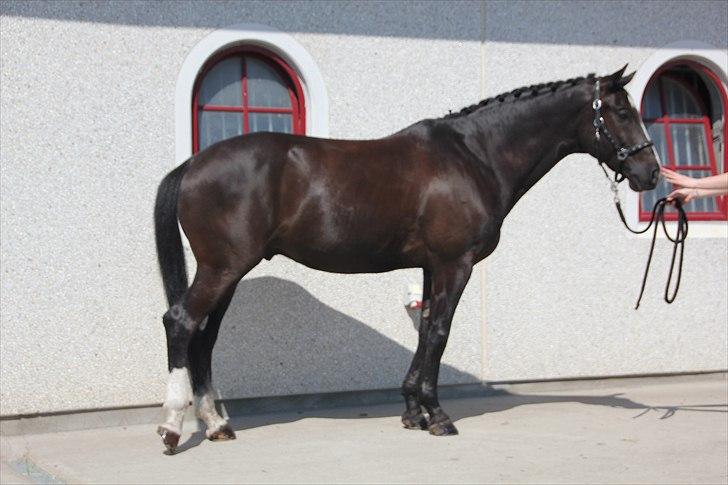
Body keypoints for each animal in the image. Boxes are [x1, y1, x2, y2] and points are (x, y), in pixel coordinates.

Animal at [153, 65, 659, 453]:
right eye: (621, 111)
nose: (650, 173)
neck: (474, 156)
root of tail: (193, 164)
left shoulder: (431, 267)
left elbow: (425, 332)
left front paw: (413, 411)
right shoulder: (456, 264)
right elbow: (439, 333)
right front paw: (438, 416)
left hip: (227, 272)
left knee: (203, 338)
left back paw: (217, 425)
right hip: (224, 268)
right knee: (181, 322)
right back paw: (173, 426)